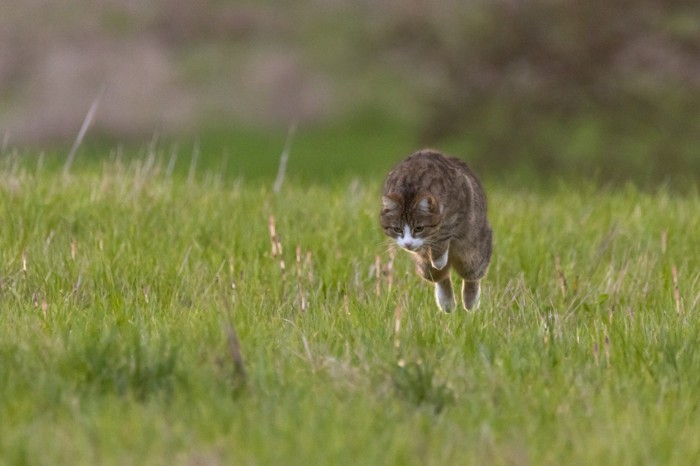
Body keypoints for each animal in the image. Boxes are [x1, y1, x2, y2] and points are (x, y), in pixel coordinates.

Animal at [380, 149, 494, 312]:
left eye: (419, 228)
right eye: (397, 229)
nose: (408, 244)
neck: (410, 189)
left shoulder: (460, 203)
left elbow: (444, 233)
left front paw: (439, 258)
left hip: (475, 247)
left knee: (471, 273)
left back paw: (470, 303)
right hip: (425, 266)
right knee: (439, 277)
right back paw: (447, 303)